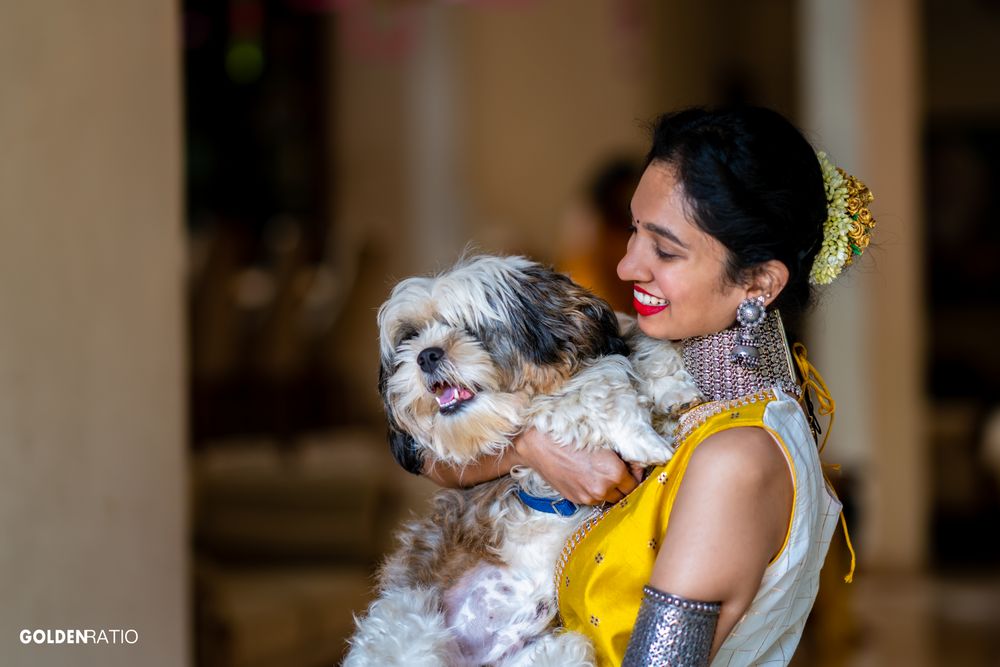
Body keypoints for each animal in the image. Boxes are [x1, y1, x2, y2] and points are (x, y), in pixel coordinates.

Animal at [348, 256, 700, 667]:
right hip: (408, 625)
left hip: (562, 650)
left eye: (470, 327)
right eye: (410, 337)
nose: (426, 354)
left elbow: (639, 342)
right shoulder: (540, 417)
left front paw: (673, 391)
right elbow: (592, 388)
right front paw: (642, 437)